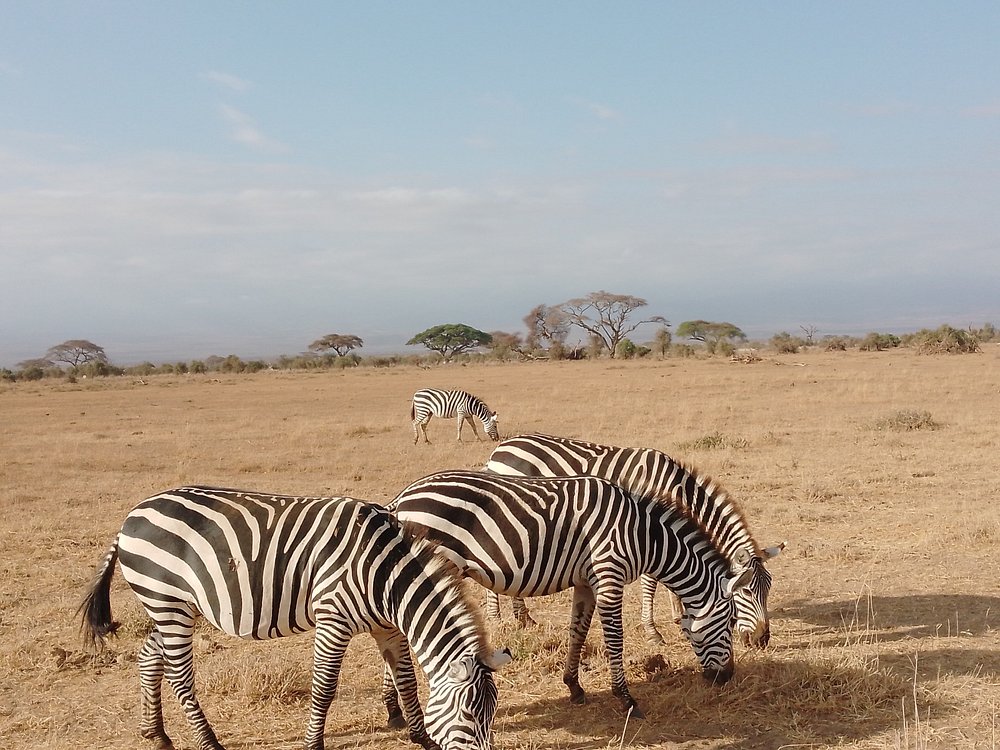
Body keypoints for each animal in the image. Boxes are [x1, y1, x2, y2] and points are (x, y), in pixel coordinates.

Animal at [78, 486, 511, 750]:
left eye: (490, 715)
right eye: (471, 714)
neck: (385, 575)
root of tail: (132, 515)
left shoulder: (387, 627)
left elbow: (407, 682)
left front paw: (422, 738)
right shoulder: (334, 618)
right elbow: (324, 689)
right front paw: (313, 743)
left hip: (173, 604)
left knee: (150, 656)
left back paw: (156, 733)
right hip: (167, 600)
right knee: (179, 676)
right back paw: (209, 742)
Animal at [386, 471, 754, 717]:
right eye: (730, 623)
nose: (726, 678)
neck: (642, 535)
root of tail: (401, 500)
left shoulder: (586, 581)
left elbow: (578, 631)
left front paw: (574, 687)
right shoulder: (609, 575)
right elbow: (615, 638)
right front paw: (626, 699)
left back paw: (394, 711)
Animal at [484, 433, 785, 647]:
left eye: (768, 589)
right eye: (746, 592)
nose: (762, 641)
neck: (673, 487)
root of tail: (503, 445)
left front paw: (680, 614)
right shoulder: (651, 529)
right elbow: (651, 583)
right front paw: (653, 632)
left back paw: (523, 618)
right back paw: (497, 619)